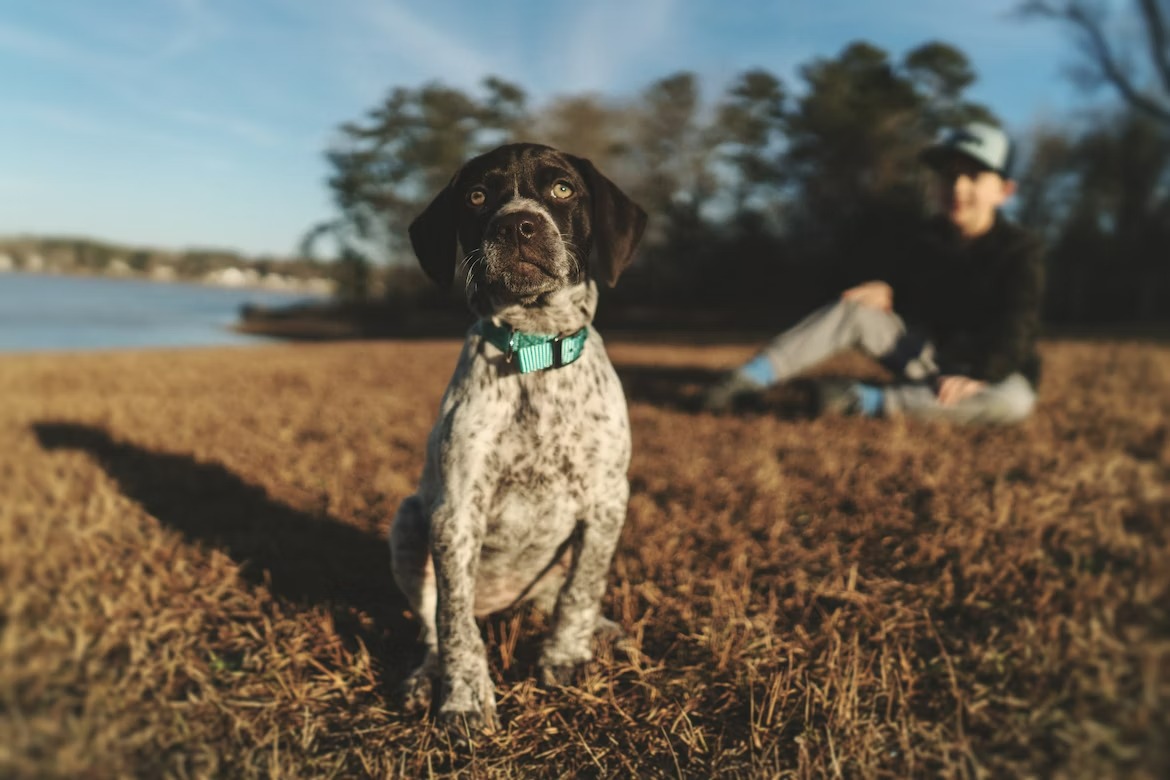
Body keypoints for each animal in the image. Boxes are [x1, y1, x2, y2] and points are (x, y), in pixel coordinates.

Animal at [390, 145, 650, 734]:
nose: (517, 225)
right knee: (434, 624)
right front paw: (465, 698)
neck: (534, 349)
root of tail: (503, 605)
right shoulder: (456, 512)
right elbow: (455, 623)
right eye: (476, 196)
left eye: (562, 189)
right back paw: (426, 678)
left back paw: (606, 634)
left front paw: (566, 657)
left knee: (556, 595)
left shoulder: (607, 500)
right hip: (409, 523)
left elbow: (582, 589)